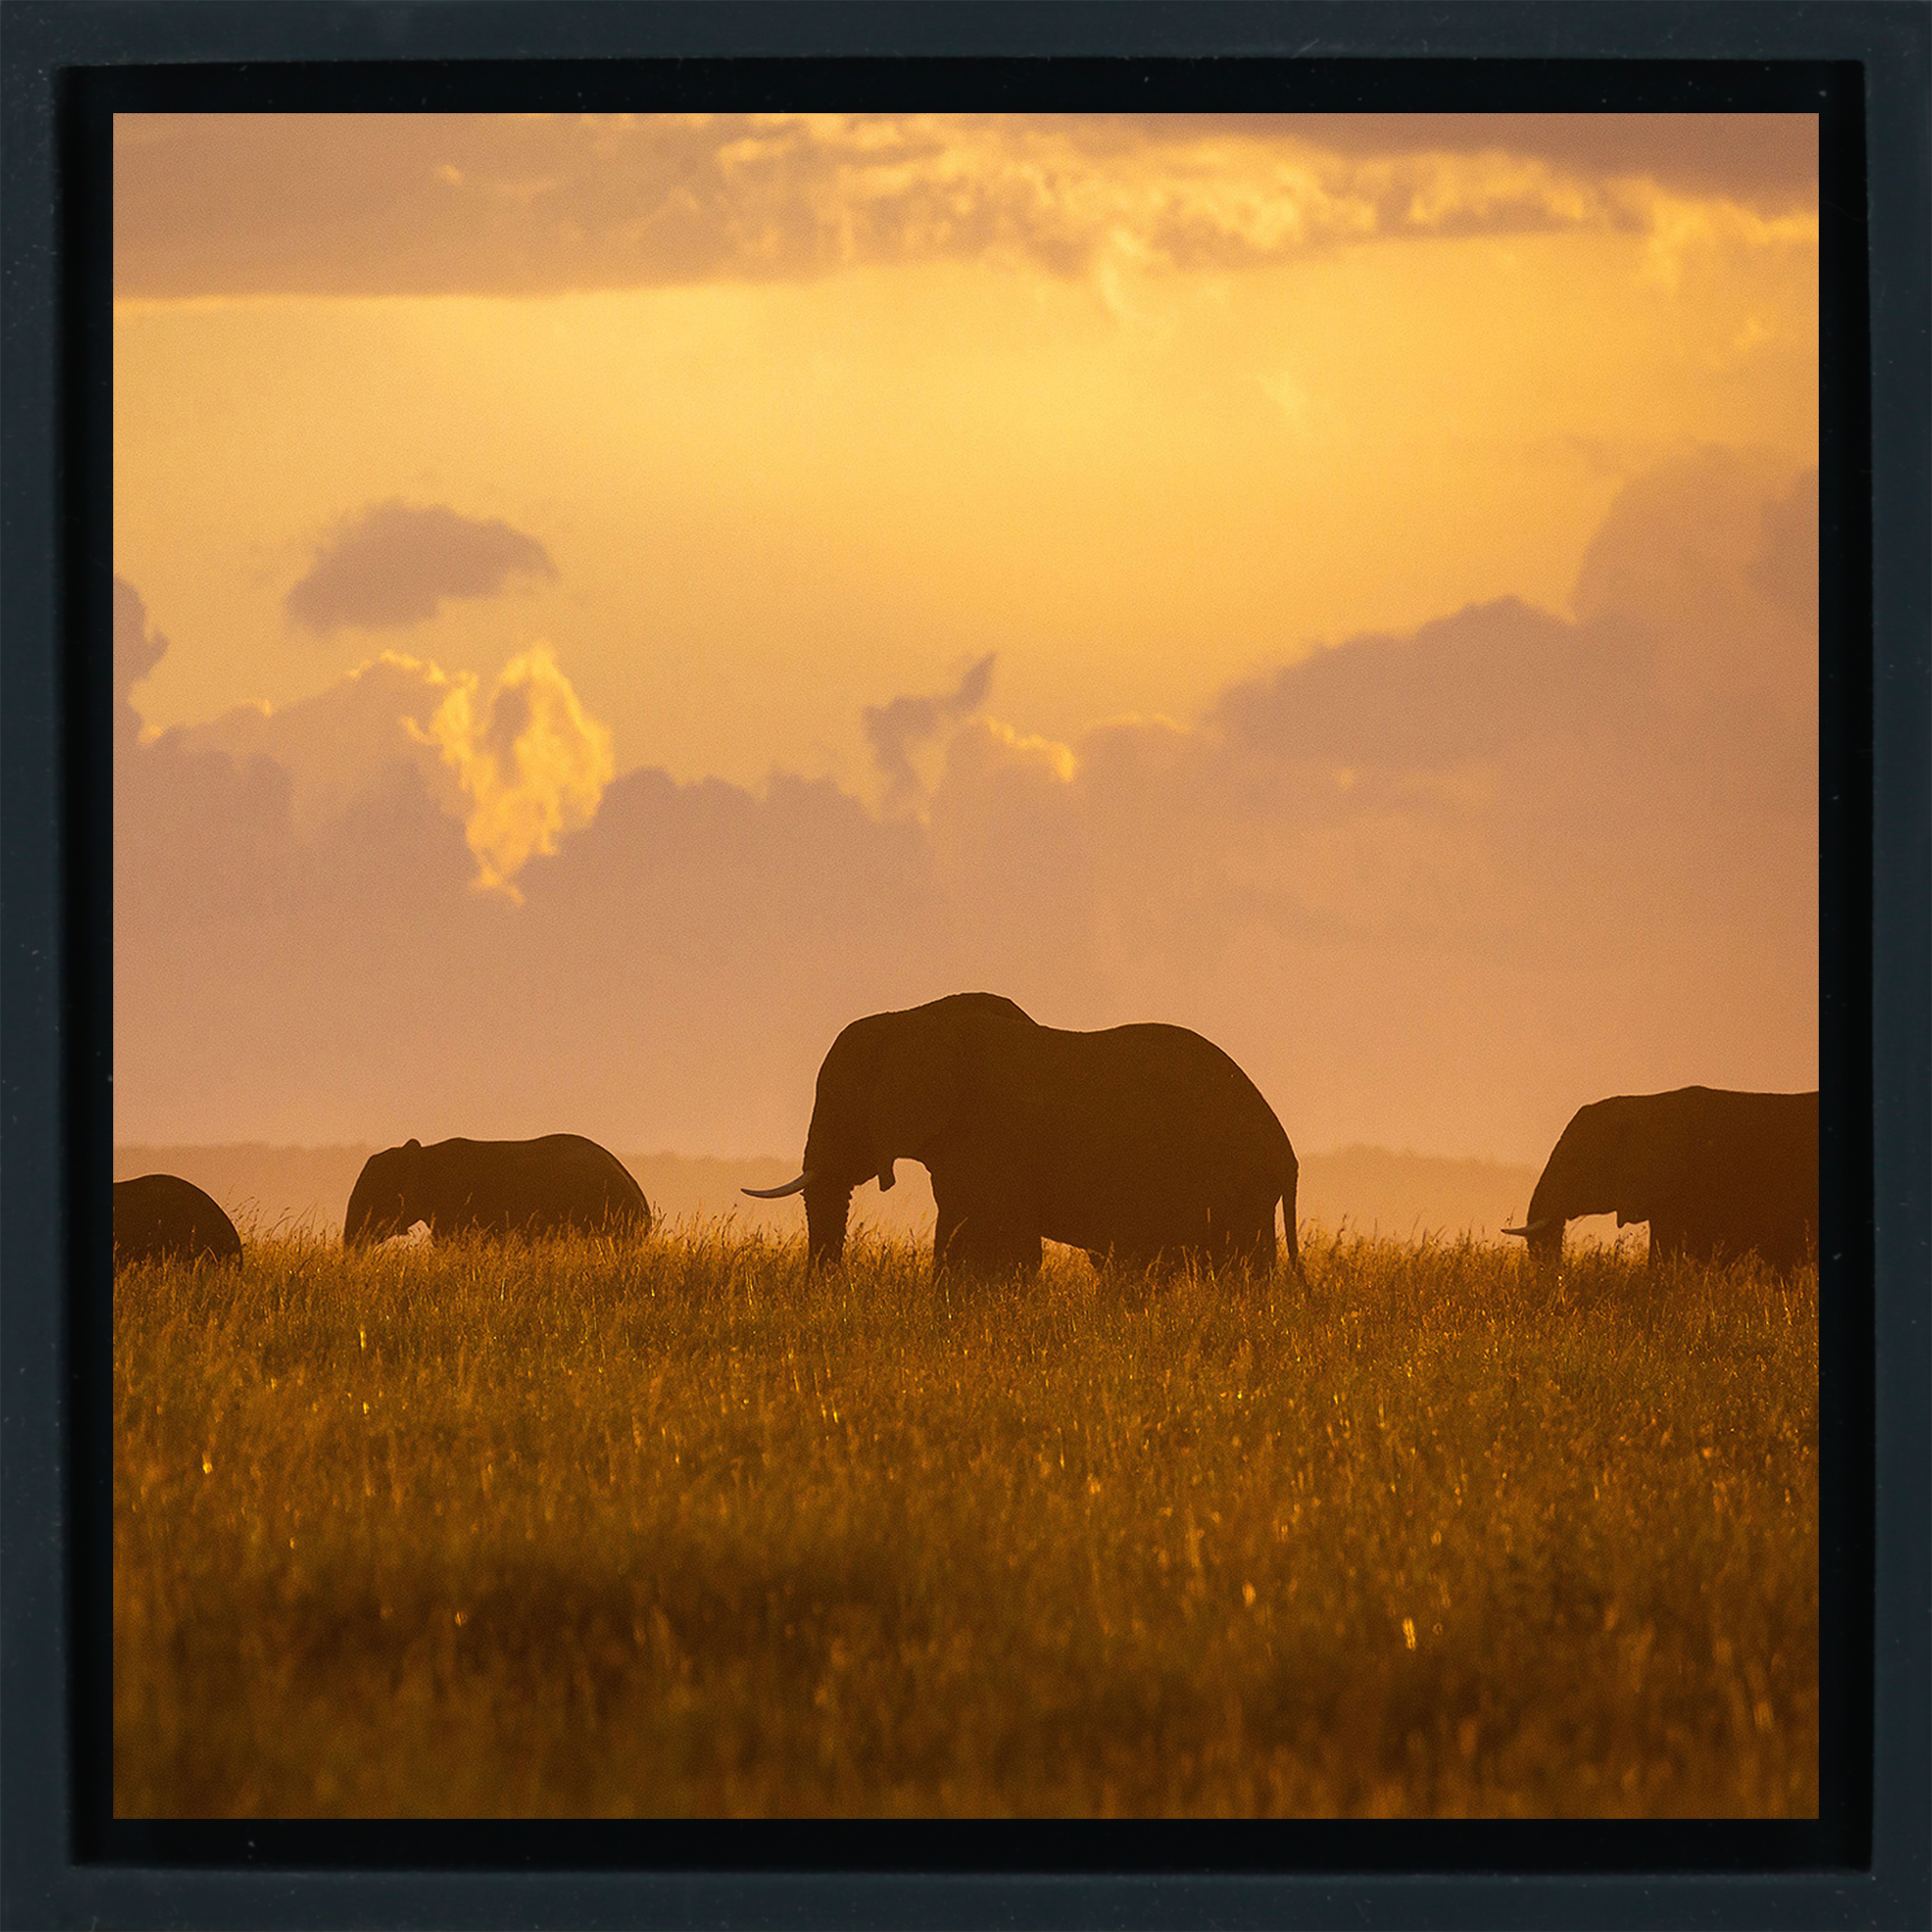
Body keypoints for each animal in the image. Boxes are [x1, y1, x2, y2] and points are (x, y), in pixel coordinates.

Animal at [745, 992, 1304, 1280]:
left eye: (842, 1106)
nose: (827, 1292)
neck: (911, 1019)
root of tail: (1287, 1152)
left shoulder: (988, 1137)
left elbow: (992, 1245)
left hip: (1237, 1186)